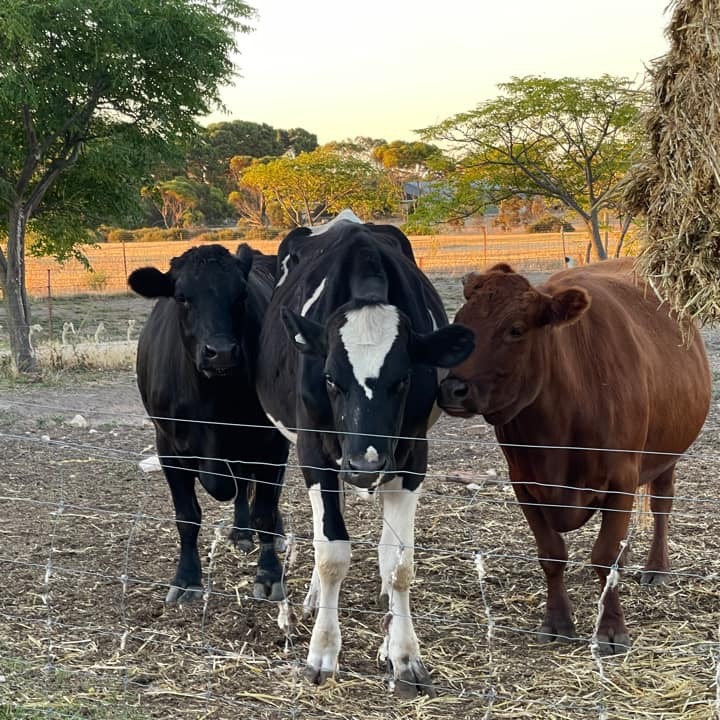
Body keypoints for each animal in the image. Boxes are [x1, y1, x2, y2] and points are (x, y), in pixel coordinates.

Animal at [128, 244, 290, 605]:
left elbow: (265, 510)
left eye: (241, 294)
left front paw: (269, 575)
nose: (222, 352)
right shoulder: (168, 447)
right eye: (182, 297)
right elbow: (187, 516)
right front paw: (187, 579)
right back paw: (241, 531)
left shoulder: (272, 442)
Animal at [256, 212, 475, 697]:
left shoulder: (411, 458)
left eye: (404, 379)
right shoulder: (314, 451)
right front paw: (322, 653)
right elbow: (332, 552)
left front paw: (403, 654)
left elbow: (398, 562)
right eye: (330, 378)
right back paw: (313, 597)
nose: (365, 464)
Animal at [437, 258, 711, 655]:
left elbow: (603, 555)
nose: (452, 389)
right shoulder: (523, 482)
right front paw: (557, 622)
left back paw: (656, 568)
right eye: (459, 324)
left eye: (516, 329)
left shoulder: (622, 477)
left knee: (662, 504)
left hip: (667, 452)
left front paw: (610, 629)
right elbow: (552, 554)